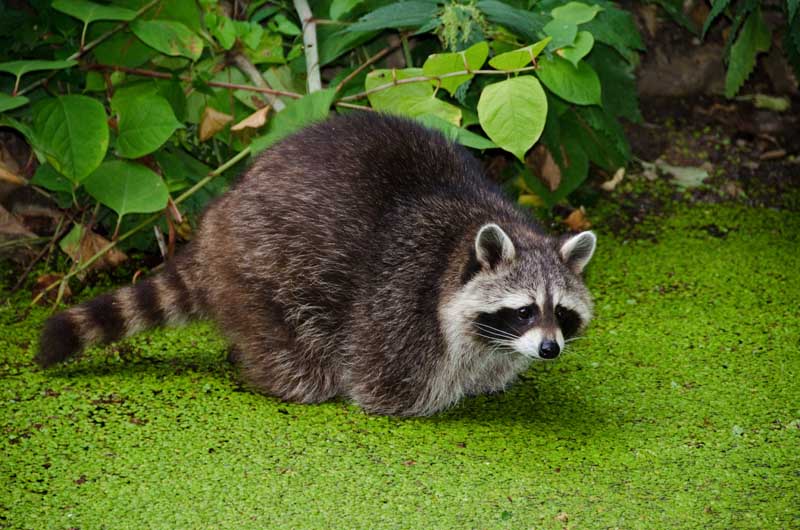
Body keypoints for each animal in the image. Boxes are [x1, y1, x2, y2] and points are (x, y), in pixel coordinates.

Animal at [39, 113, 600, 414]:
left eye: (560, 312)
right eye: (524, 310)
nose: (549, 349)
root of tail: (217, 218)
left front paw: (489, 379)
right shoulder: (400, 299)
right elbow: (385, 387)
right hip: (265, 265)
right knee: (299, 357)